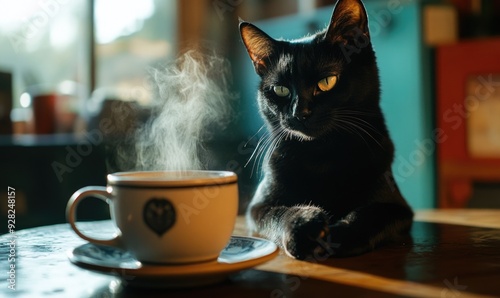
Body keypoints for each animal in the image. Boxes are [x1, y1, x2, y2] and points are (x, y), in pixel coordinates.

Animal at [240, 0, 412, 260]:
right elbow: (278, 214)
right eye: (281, 90)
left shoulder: (398, 207)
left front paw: (339, 235)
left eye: (327, 82)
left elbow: (370, 214)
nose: (299, 113)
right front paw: (303, 226)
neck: (321, 154)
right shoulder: (258, 206)